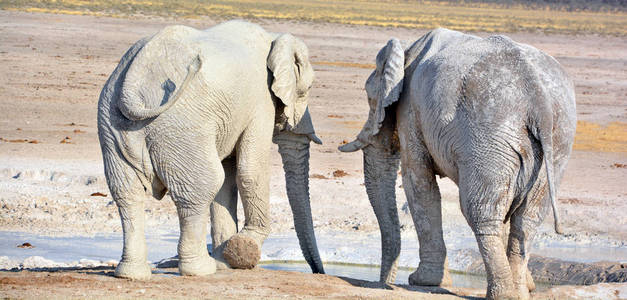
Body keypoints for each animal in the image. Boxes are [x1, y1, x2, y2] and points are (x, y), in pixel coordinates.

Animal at [98, 20, 326, 278]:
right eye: (309, 87)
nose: (319, 272)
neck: (273, 37)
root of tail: (132, 88)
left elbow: (228, 181)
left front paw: (225, 261)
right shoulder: (261, 100)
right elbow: (249, 171)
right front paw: (243, 248)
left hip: (113, 124)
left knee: (127, 193)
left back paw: (132, 274)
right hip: (181, 125)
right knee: (202, 185)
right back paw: (200, 269)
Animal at [340, 28, 576, 300]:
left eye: (370, 98)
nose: (382, 284)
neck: (407, 51)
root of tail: (539, 99)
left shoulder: (411, 110)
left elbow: (418, 183)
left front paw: (424, 281)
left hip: (488, 135)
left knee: (481, 211)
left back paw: (502, 294)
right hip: (556, 141)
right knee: (527, 217)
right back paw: (519, 291)